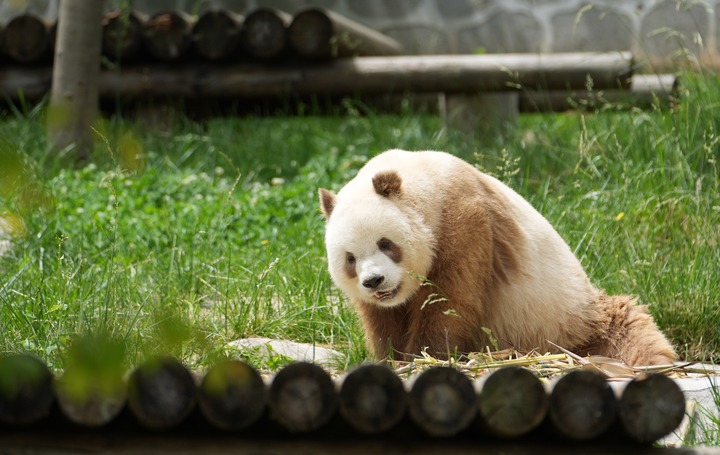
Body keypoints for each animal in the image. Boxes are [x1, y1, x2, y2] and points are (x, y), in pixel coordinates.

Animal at [318, 150, 676, 366]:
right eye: (350, 259)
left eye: (386, 243)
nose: (374, 281)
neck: (426, 180)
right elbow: (383, 319)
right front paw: (391, 357)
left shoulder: (465, 224)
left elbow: (449, 302)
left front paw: (426, 354)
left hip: (575, 319)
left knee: (632, 331)